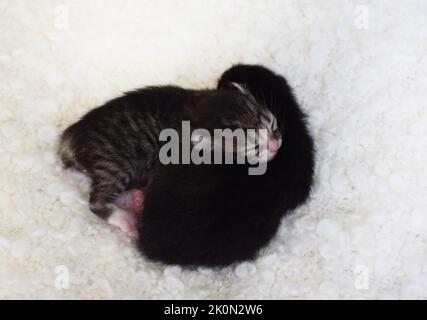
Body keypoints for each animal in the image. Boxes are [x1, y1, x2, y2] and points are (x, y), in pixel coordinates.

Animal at [60, 82, 280, 238]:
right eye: (254, 147)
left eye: (273, 125)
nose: (275, 145)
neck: (197, 111)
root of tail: (71, 136)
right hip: (115, 161)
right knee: (97, 200)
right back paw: (125, 218)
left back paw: (134, 199)